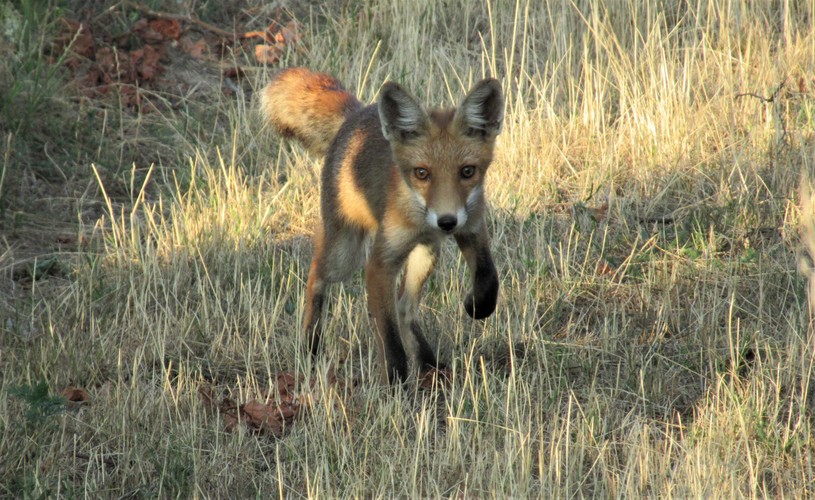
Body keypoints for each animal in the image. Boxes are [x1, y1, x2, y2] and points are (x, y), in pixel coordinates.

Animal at [262, 67, 504, 382]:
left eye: (467, 171)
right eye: (422, 173)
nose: (446, 222)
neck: (418, 217)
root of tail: (357, 114)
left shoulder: (472, 225)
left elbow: (488, 277)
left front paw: (477, 305)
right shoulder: (380, 263)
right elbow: (389, 338)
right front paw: (396, 383)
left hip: (426, 255)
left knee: (404, 307)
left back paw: (429, 364)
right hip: (345, 253)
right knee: (316, 276)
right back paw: (310, 346)